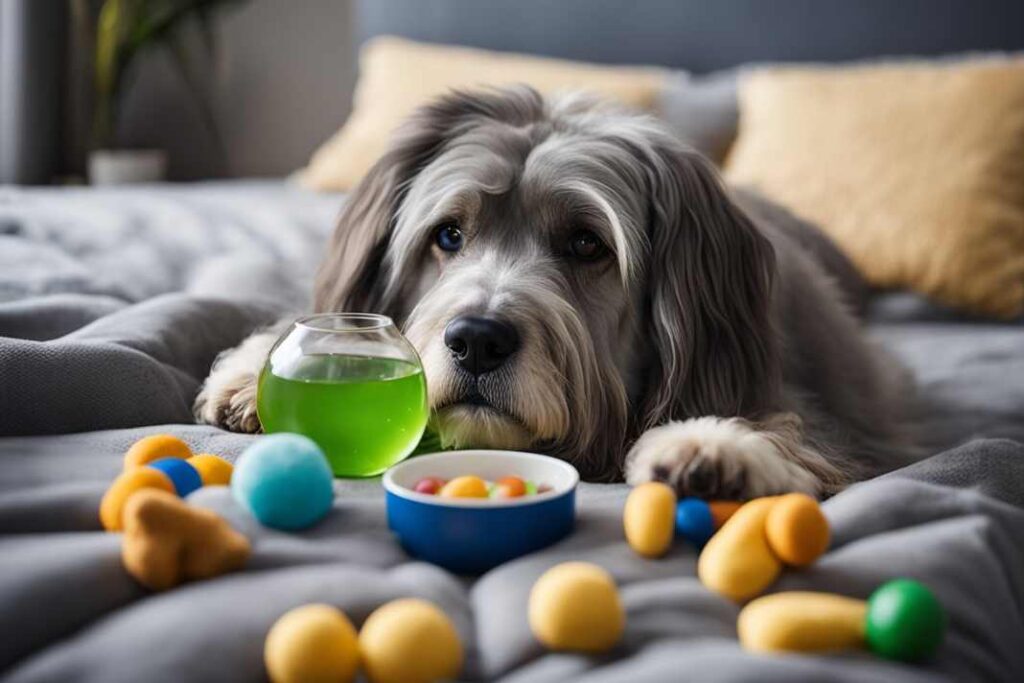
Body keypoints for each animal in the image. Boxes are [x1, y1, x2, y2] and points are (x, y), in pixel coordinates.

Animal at [193, 85, 913, 497]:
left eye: (587, 244)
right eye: (449, 234)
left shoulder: (833, 415)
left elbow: (795, 430)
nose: (477, 341)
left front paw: (715, 444)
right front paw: (251, 374)